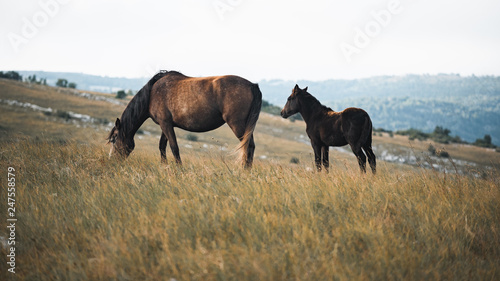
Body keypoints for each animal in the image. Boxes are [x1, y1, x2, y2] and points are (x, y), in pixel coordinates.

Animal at [106, 70, 262, 167]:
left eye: (114, 139)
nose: (111, 160)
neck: (152, 93)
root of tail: (252, 85)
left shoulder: (165, 124)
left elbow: (174, 147)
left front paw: (179, 170)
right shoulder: (166, 124)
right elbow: (162, 146)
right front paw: (165, 167)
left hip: (237, 125)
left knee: (248, 146)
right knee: (251, 146)